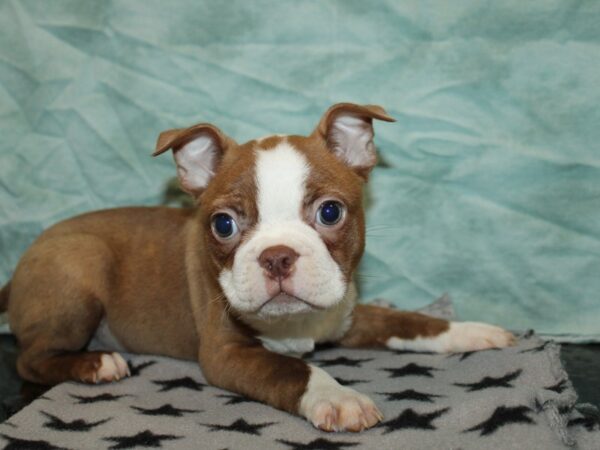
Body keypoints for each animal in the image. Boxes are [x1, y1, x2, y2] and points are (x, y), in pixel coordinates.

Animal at [1, 103, 516, 432]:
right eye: (223, 224)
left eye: (331, 212)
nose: (277, 255)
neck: (296, 323)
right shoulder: (226, 353)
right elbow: (291, 369)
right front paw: (339, 397)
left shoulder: (346, 314)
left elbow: (408, 321)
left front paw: (470, 331)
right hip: (79, 270)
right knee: (29, 358)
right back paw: (96, 363)